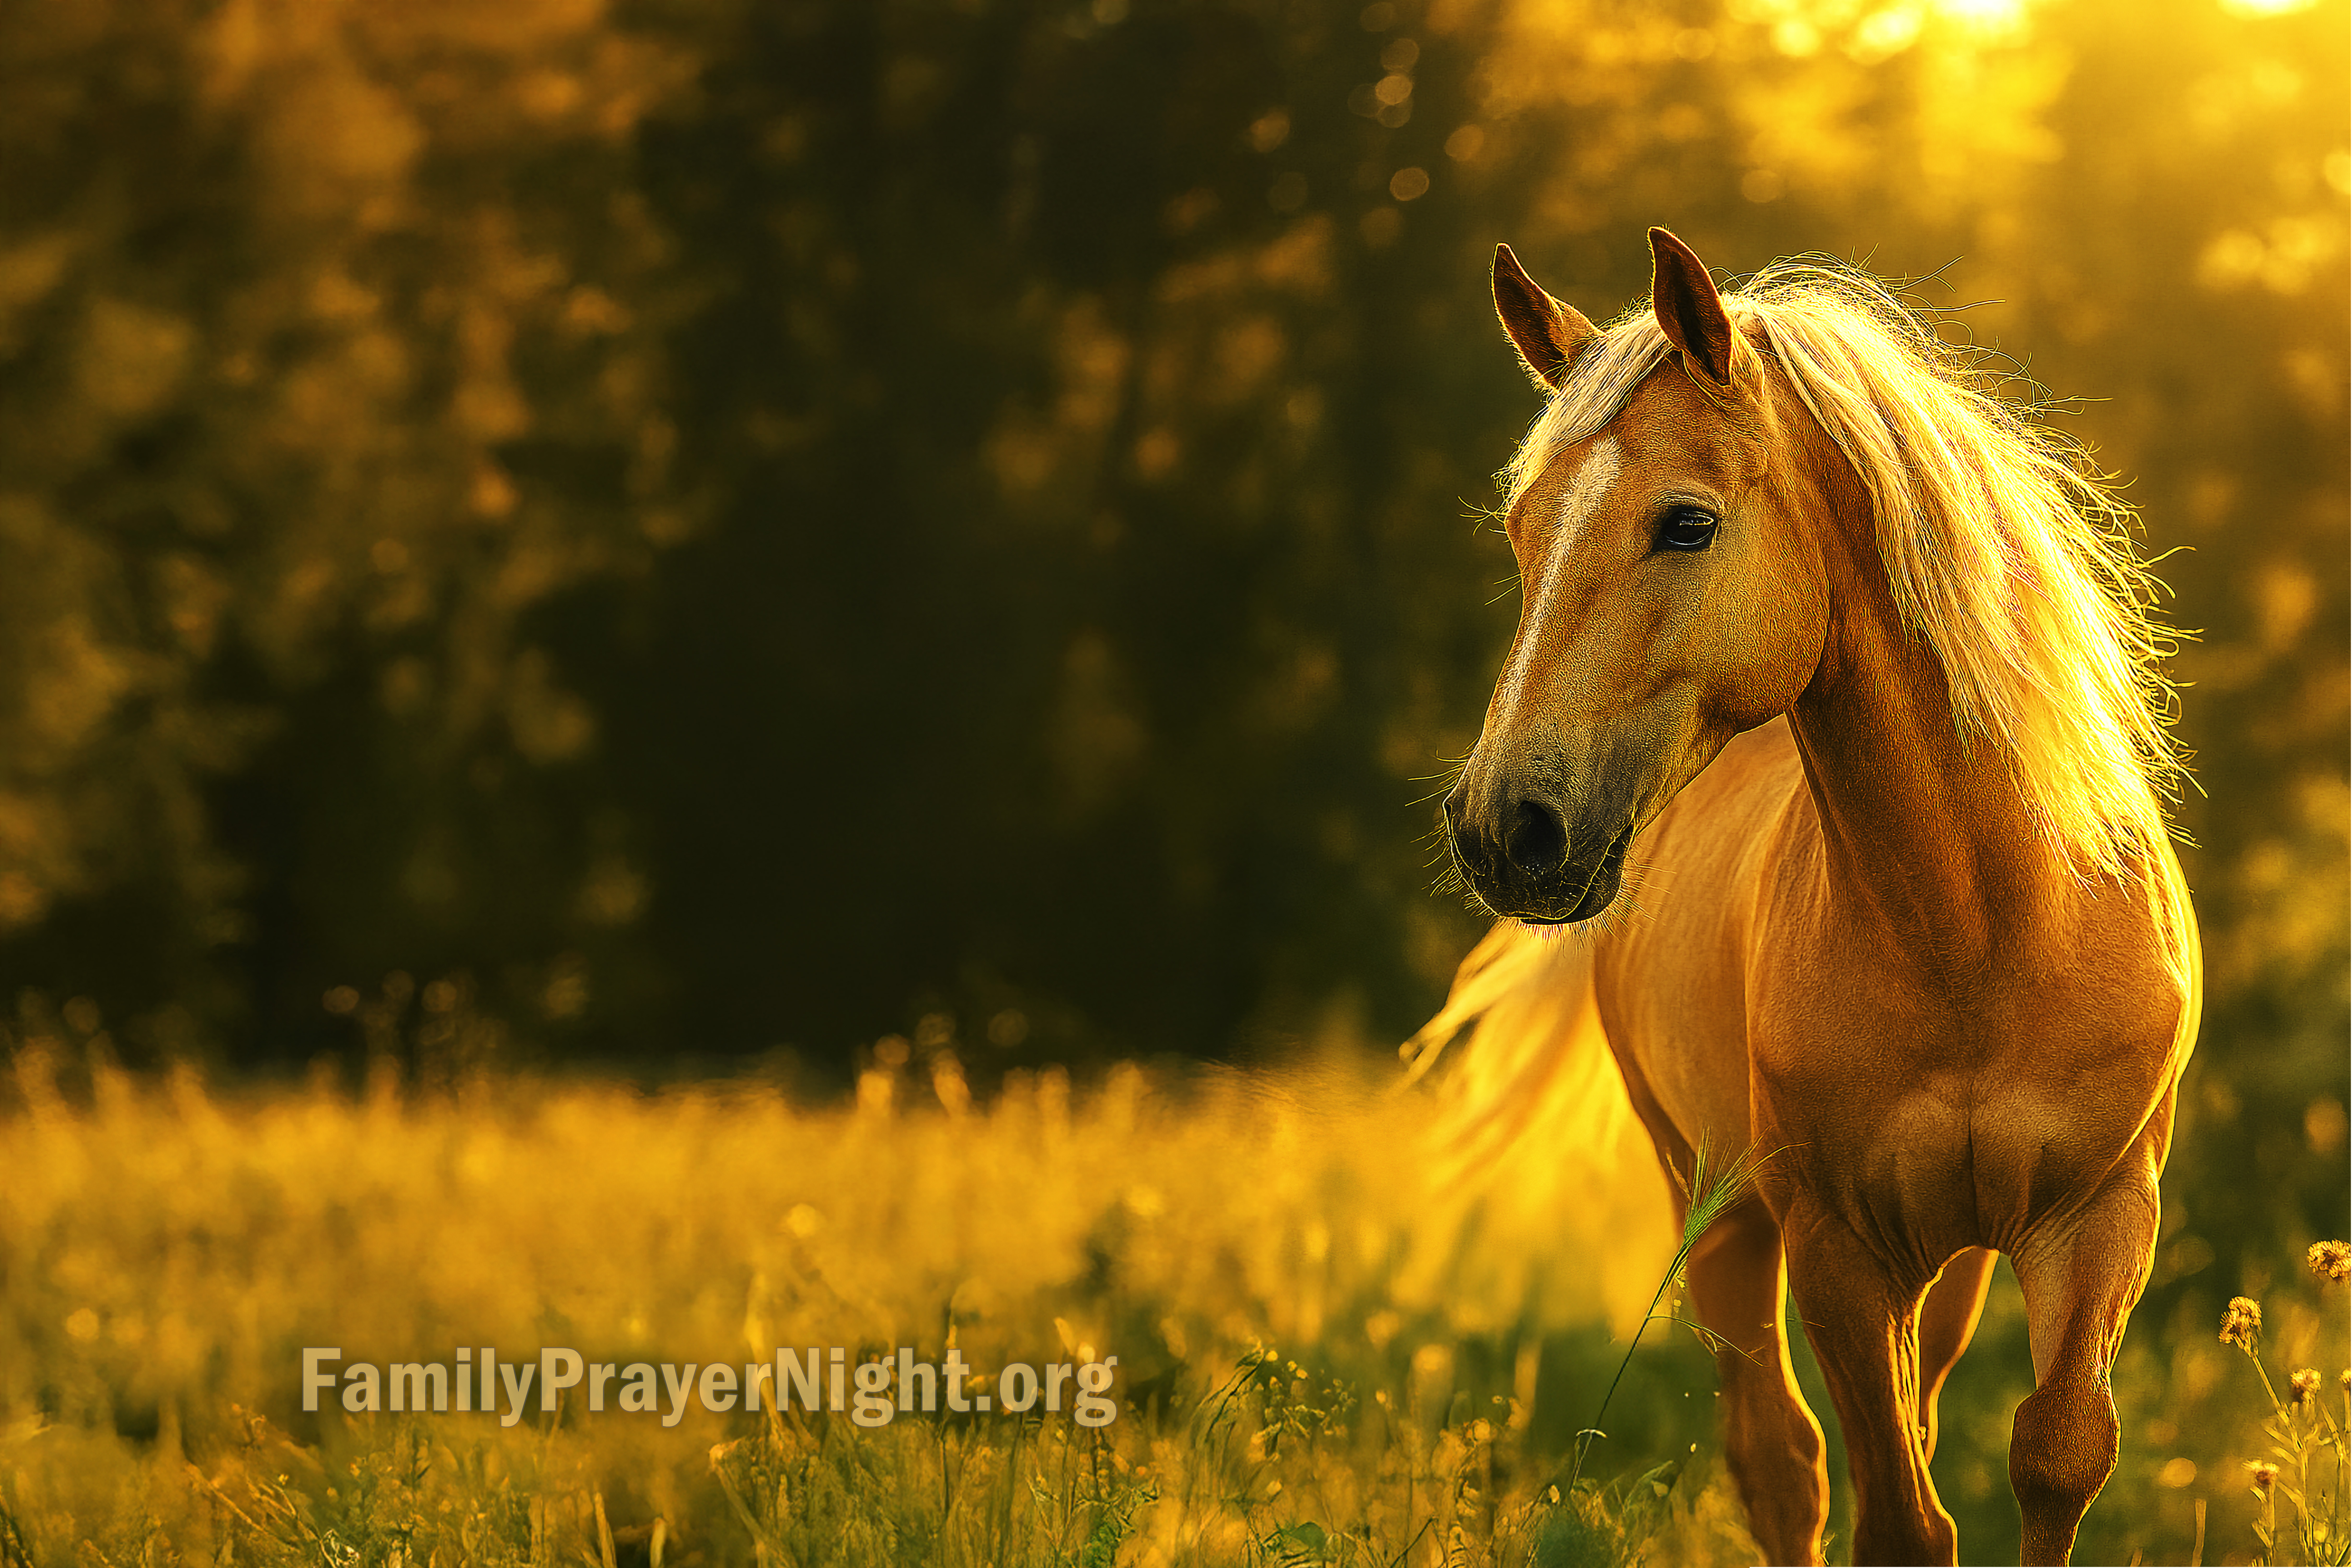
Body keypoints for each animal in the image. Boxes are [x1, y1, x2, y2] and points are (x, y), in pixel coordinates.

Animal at [1406, 228, 2199, 1566]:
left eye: (1685, 523)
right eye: (1522, 529)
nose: (1504, 828)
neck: (1982, 928)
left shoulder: (2100, 1215)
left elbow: (2053, 1454)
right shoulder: (1835, 1248)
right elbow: (1895, 1516)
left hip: (1947, 1266)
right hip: (1716, 1208)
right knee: (1777, 1459)